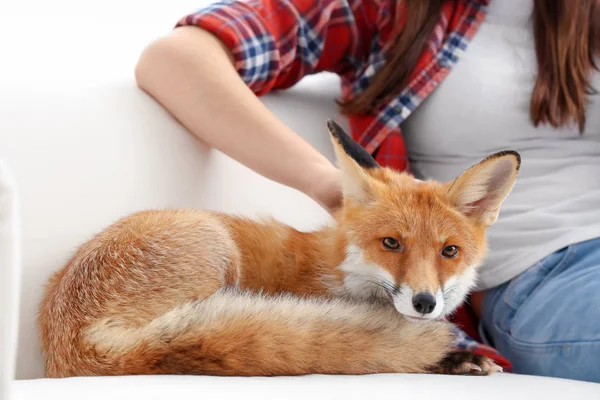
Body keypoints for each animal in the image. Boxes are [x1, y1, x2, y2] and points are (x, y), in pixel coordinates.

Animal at [37, 119, 516, 378]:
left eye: (449, 251)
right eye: (391, 243)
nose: (424, 303)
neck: (341, 273)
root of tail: (77, 348)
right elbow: (390, 351)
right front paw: (453, 357)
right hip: (218, 246)